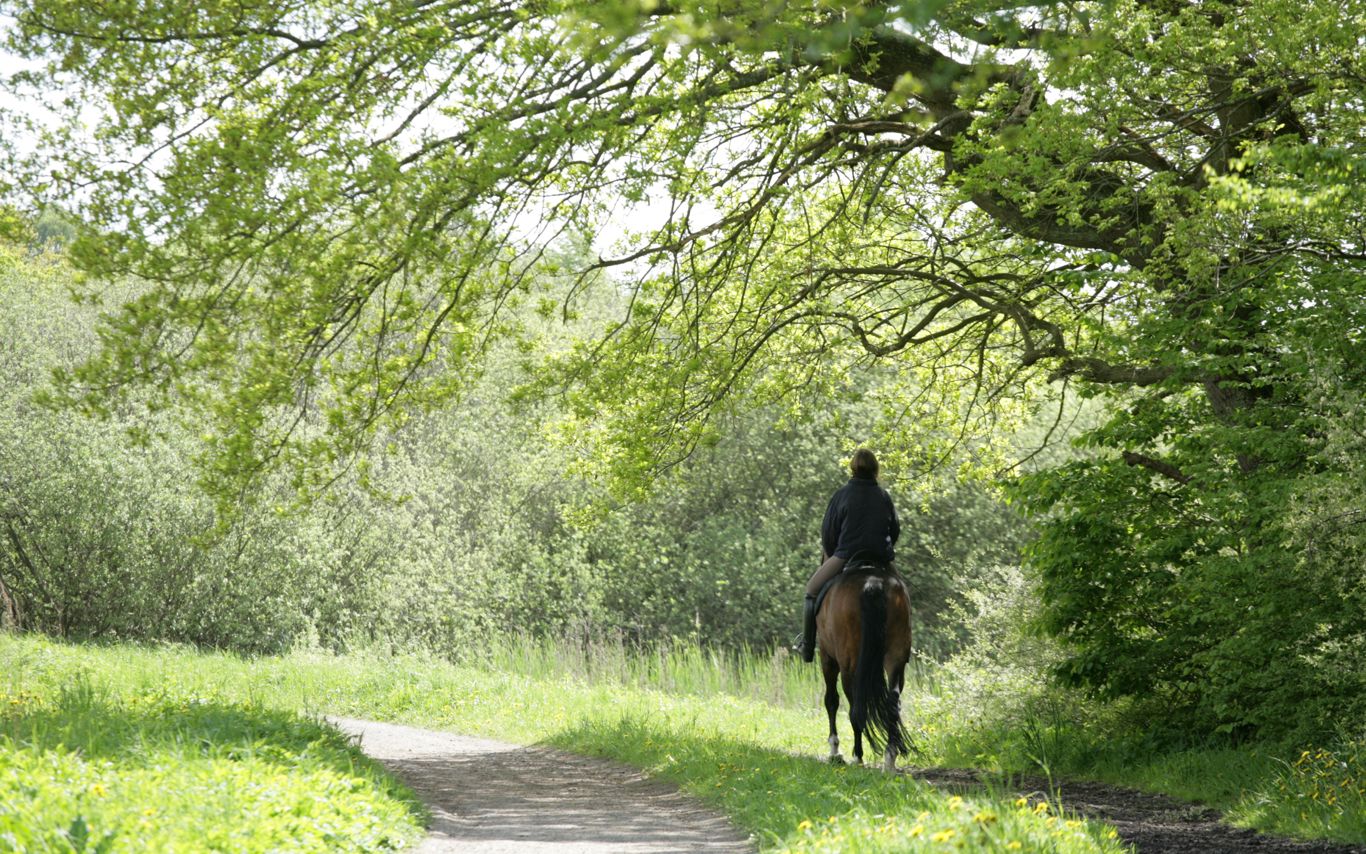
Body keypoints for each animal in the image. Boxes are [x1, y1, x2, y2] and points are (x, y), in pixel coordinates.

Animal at [815, 562, 912, 770]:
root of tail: (873, 583)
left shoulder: (828, 658)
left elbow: (831, 701)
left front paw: (835, 750)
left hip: (848, 665)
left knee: (855, 708)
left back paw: (858, 756)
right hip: (896, 657)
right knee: (893, 701)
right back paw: (890, 756)